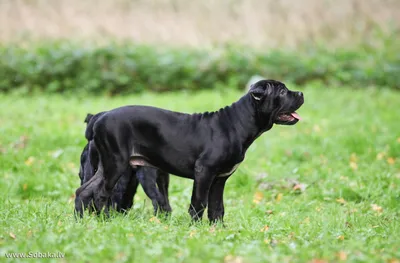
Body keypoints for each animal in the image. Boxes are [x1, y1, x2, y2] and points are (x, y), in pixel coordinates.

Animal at [75, 80, 304, 223]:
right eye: (282, 92)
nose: (301, 93)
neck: (238, 123)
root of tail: (100, 117)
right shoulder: (204, 172)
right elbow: (198, 204)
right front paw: (196, 230)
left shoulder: (220, 179)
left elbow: (217, 208)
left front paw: (217, 230)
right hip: (116, 164)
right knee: (101, 194)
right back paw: (104, 221)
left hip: (105, 166)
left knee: (83, 191)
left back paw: (80, 221)